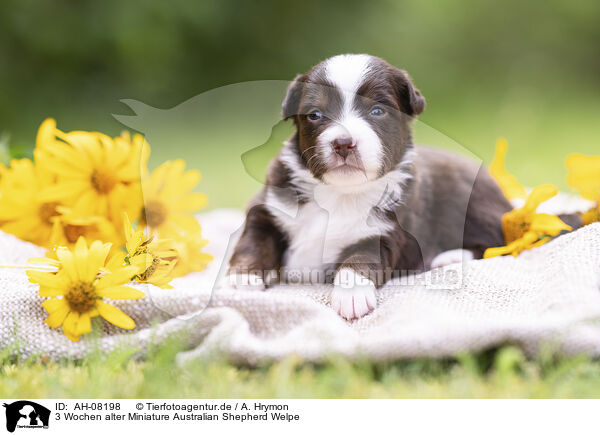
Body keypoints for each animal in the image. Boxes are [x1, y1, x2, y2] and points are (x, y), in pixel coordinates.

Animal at [225, 53, 510, 320]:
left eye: (377, 111)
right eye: (315, 114)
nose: (343, 143)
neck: (339, 193)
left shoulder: (386, 233)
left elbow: (359, 260)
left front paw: (351, 294)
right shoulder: (266, 208)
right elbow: (253, 244)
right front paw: (242, 279)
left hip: (475, 205)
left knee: (499, 242)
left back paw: (449, 257)